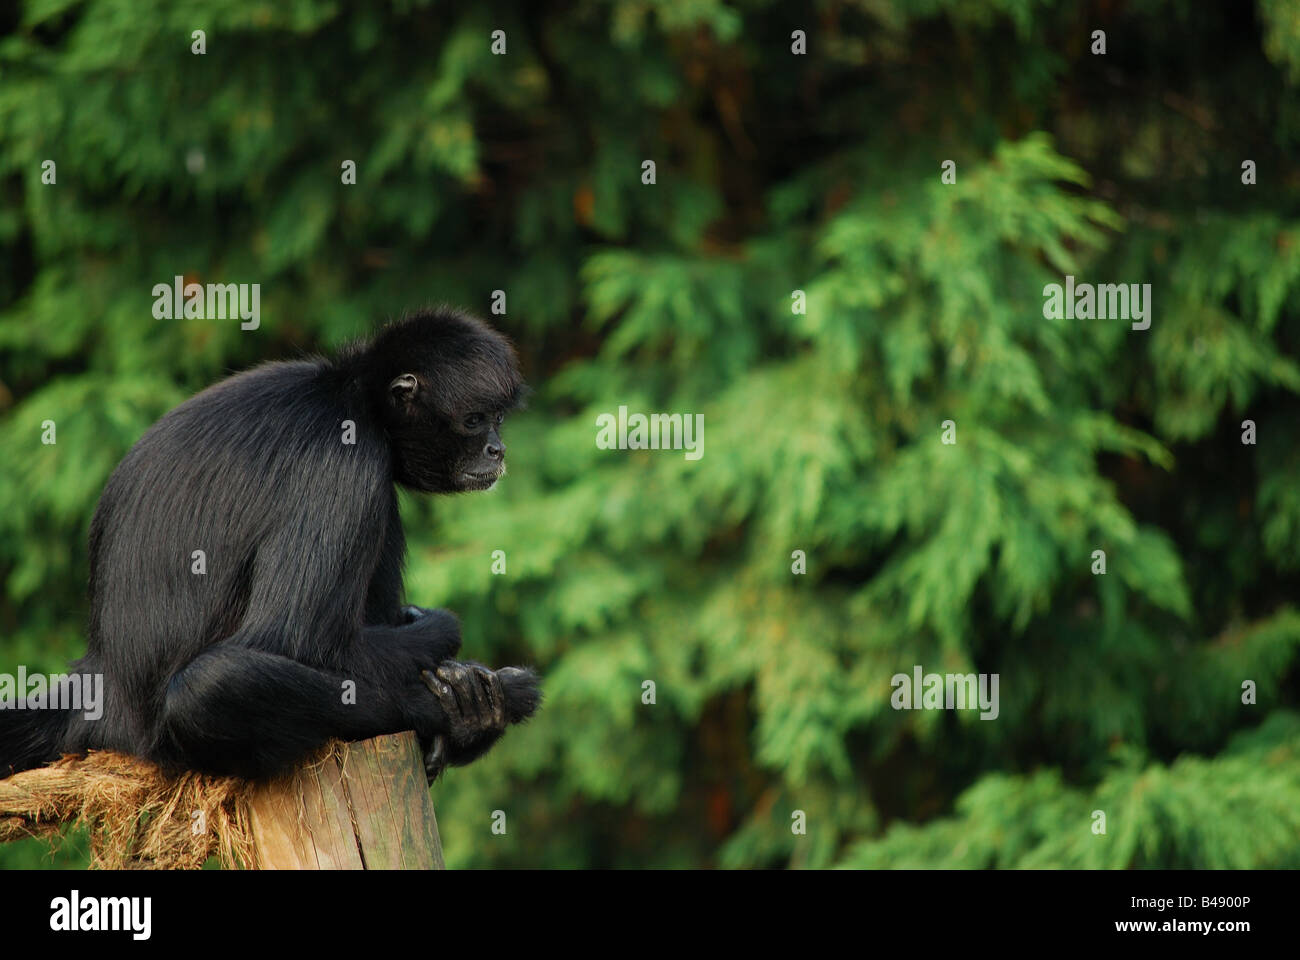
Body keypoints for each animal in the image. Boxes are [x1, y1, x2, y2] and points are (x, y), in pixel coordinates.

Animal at [0, 306, 538, 780]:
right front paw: (440, 632)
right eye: (475, 420)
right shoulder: (346, 462)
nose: (498, 449)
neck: (351, 395)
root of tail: (101, 676)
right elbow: (296, 639)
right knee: (210, 686)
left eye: (498, 420)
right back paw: (471, 709)